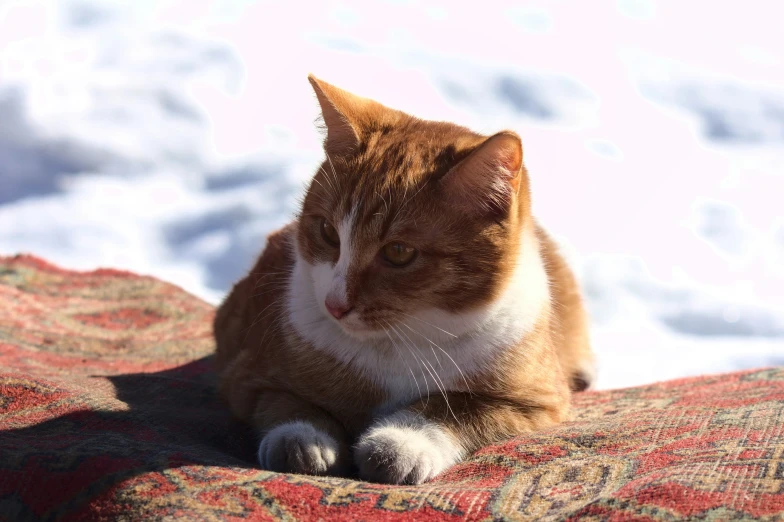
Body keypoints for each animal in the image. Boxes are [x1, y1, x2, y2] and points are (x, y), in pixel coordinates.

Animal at [211, 74, 592, 484]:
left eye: (398, 252)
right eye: (328, 231)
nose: (335, 304)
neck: (398, 344)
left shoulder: (537, 401)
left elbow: (456, 406)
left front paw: (401, 443)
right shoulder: (244, 374)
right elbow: (284, 402)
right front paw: (303, 440)